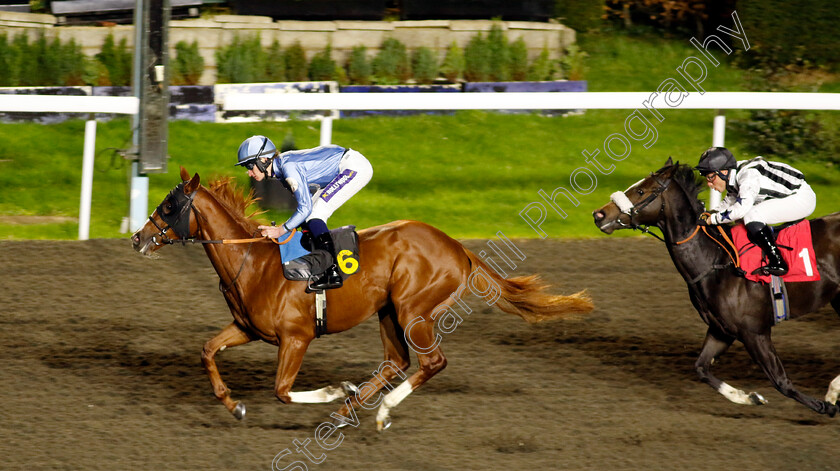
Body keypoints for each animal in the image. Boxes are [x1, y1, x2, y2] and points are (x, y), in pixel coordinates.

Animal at [131, 169, 592, 432]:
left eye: (169, 205)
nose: (137, 238)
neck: (252, 261)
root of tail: (457, 247)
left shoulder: (296, 338)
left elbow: (282, 391)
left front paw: (334, 390)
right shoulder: (248, 329)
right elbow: (207, 350)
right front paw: (233, 404)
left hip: (413, 311)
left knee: (431, 363)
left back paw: (378, 410)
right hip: (388, 311)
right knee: (396, 361)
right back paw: (350, 409)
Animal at [592, 160, 840, 418]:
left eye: (641, 191)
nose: (599, 214)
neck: (716, 262)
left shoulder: (754, 332)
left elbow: (781, 382)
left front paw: (826, 407)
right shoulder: (721, 331)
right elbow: (701, 368)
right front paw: (750, 397)